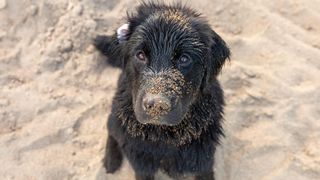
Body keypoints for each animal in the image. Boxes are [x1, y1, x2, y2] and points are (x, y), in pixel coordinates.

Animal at [94, 1, 229, 180]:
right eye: (140, 55)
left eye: (184, 58)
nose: (156, 105)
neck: (165, 136)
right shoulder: (142, 166)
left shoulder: (204, 162)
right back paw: (111, 160)